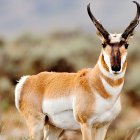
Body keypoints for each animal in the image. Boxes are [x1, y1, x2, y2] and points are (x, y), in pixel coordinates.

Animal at [15, 1, 140, 140]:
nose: (115, 67)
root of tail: (27, 80)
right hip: (36, 124)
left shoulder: (103, 126)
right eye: (103, 44)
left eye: (126, 44)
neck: (96, 84)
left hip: (54, 127)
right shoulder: (86, 125)